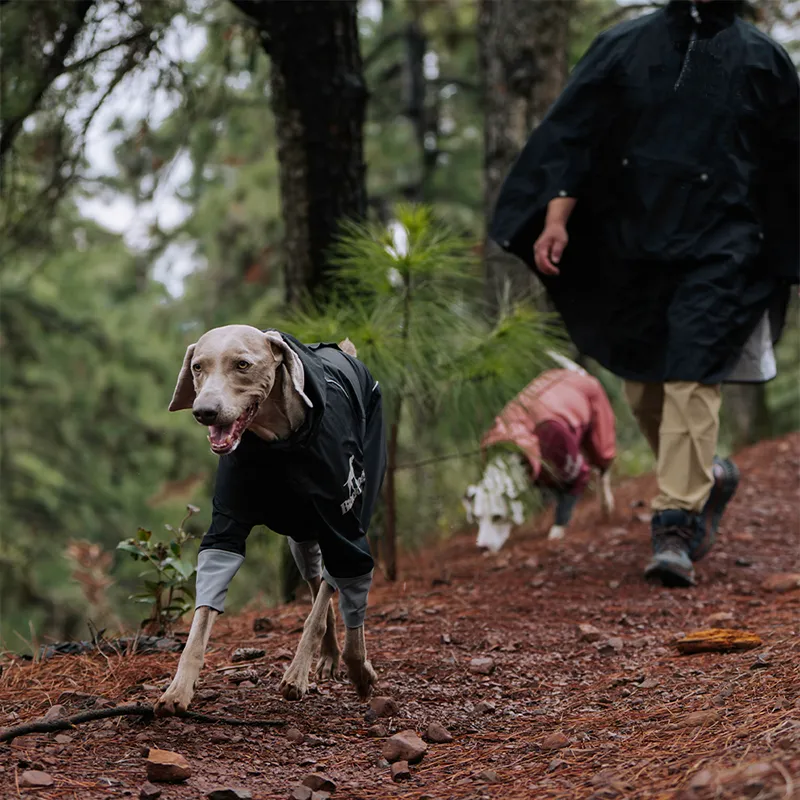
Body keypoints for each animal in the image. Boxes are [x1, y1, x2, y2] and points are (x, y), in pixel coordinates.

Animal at [155, 324, 388, 712]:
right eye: (198, 367)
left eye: (242, 364)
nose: (204, 411)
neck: (277, 443)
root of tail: (345, 351)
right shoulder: (226, 526)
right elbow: (202, 618)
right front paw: (179, 688)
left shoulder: (341, 526)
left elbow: (329, 602)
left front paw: (340, 671)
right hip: (301, 540)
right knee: (317, 581)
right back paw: (328, 656)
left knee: (335, 585)